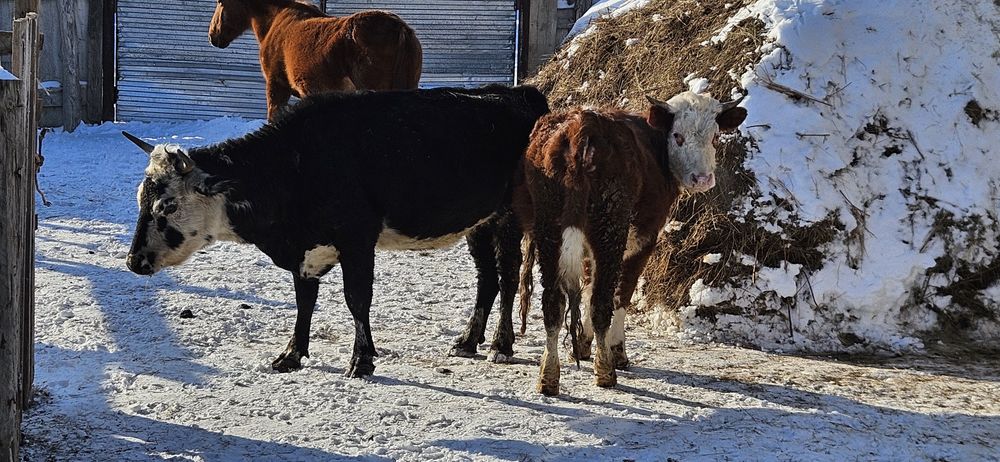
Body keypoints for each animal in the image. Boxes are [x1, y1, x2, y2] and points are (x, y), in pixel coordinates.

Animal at [123, 86, 549, 378]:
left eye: (167, 206)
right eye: (141, 200)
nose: (133, 261)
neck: (293, 165)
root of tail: (518, 92)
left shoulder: (357, 242)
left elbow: (357, 300)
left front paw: (361, 360)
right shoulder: (305, 251)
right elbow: (304, 302)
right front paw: (292, 354)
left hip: (509, 217)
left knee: (507, 276)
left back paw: (500, 344)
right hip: (479, 221)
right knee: (486, 279)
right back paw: (468, 340)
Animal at [515, 91, 747, 395]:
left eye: (715, 137)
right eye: (678, 136)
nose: (703, 179)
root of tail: (582, 126)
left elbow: (588, 286)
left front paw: (583, 343)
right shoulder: (643, 240)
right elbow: (620, 295)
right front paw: (616, 350)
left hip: (549, 230)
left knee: (554, 302)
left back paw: (549, 376)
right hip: (609, 228)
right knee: (602, 302)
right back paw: (605, 370)